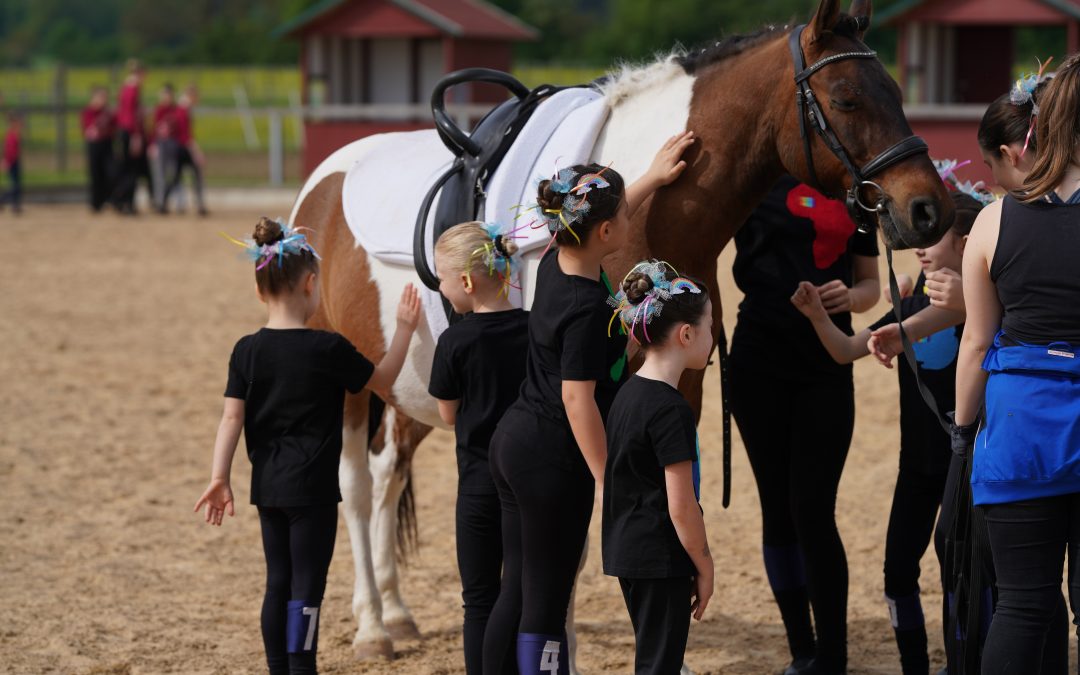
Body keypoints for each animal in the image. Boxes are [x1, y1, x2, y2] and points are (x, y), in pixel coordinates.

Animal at [287, 0, 954, 660]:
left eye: (898, 91)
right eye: (845, 97)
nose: (930, 210)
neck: (644, 213)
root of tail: (320, 183)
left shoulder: (676, 389)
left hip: (413, 387)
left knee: (387, 471)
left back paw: (398, 614)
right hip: (352, 383)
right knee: (356, 484)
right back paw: (372, 627)